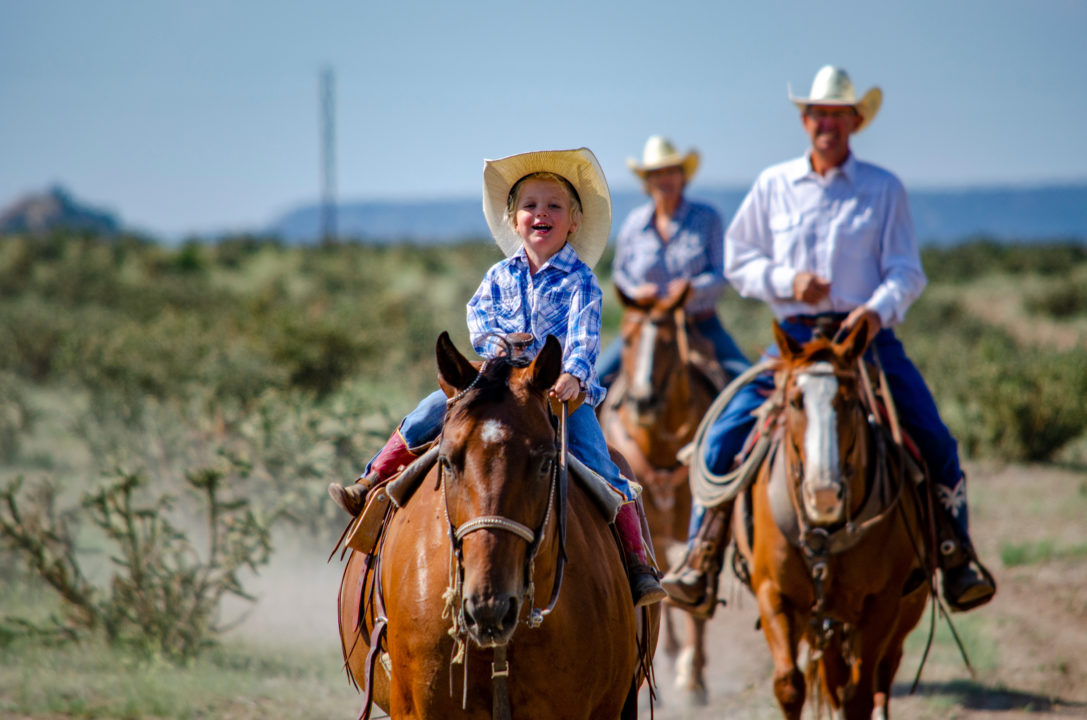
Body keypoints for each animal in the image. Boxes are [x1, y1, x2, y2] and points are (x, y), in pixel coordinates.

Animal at [734, 321, 939, 720]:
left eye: (849, 401)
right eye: (795, 401)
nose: (824, 493)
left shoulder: (882, 604)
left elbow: (859, 695)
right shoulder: (774, 593)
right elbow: (790, 685)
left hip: (908, 606)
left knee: (883, 673)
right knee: (832, 677)